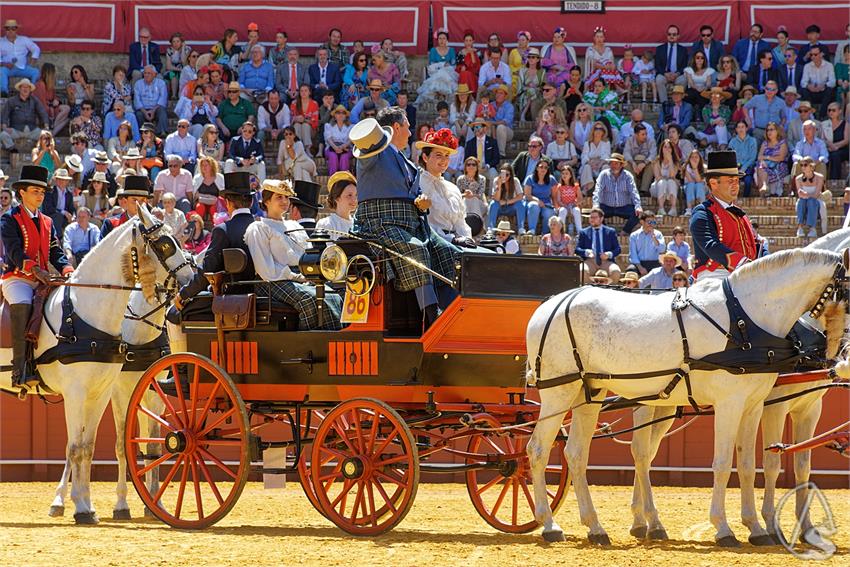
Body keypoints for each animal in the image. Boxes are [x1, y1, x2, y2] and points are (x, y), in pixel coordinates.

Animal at [0, 206, 192, 524]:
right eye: (165, 244)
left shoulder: (107, 393)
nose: (192, 279)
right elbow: (83, 447)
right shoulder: (87, 393)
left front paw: (90, 505)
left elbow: (92, 447)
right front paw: (92, 506)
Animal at [524, 248, 840, 544]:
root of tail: (550, 304)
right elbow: (728, 464)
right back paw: (550, 524)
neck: (746, 317)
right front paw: (726, 528)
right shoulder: (739, 405)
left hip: (593, 393)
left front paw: (759, 528)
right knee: (538, 450)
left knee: (582, 454)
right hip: (559, 391)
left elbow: (755, 465)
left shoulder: (757, 406)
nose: (833, 352)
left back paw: (602, 526)